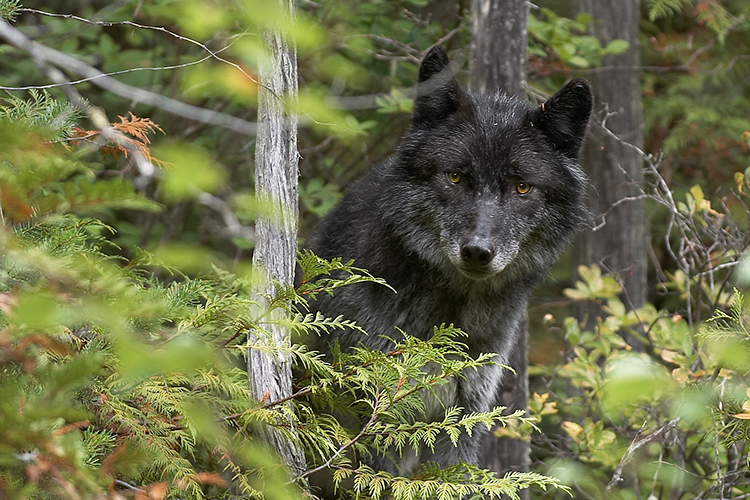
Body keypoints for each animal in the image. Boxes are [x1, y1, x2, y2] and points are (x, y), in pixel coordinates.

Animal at [306, 45, 592, 474]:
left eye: (522, 187)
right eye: (455, 177)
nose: (477, 251)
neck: (450, 311)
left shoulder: (462, 416)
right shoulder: (375, 417)